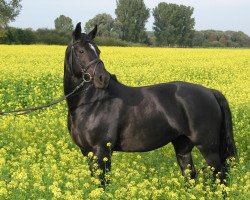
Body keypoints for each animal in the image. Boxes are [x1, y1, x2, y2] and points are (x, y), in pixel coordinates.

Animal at [64, 22, 236, 185]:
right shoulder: (87, 152)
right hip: (183, 145)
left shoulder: (102, 151)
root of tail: (210, 92)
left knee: (221, 174)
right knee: (190, 175)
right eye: (81, 51)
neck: (92, 103)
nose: (102, 78)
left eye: (98, 51)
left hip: (208, 147)